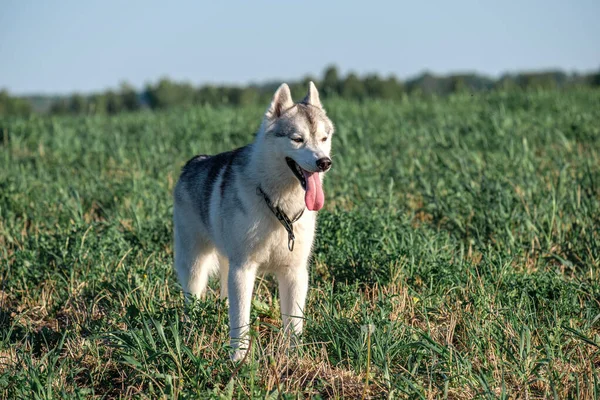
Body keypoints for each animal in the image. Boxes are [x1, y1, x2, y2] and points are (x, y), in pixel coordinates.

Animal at [173, 81, 336, 360]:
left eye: (324, 138)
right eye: (297, 139)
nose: (324, 162)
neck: (279, 207)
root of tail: (192, 162)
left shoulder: (295, 272)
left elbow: (294, 323)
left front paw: (293, 357)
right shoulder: (243, 269)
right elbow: (241, 320)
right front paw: (238, 359)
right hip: (194, 266)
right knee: (191, 303)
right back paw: (190, 334)